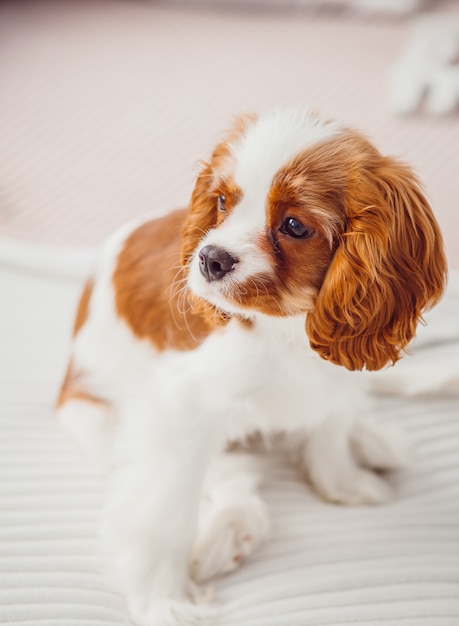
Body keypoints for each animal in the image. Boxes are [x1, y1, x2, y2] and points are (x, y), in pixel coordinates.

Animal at [57, 109, 450, 620]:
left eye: (294, 226)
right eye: (222, 201)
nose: (209, 258)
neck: (288, 326)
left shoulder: (336, 376)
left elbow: (331, 429)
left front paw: (342, 482)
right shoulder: (179, 404)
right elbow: (165, 511)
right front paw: (164, 598)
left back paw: (372, 439)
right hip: (93, 418)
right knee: (234, 482)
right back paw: (232, 530)